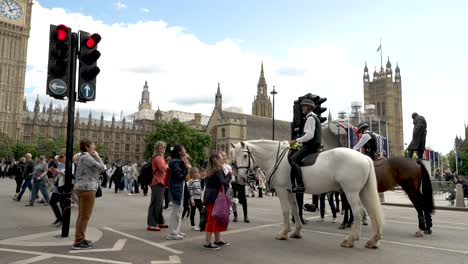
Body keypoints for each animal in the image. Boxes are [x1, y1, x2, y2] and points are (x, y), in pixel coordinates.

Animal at [233, 139, 384, 249]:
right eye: (234, 158)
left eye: (245, 155)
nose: (241, 178)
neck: (275, 158)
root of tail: (365, 157)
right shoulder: (290, 191)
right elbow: (295, 209)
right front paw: (296, 231)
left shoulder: (282, 190)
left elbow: (286, 210)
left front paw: (283, 233)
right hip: (363, 192)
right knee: (371, 211)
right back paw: (373, 240)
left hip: (350, 192)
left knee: (358, 212)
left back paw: (350, 239)